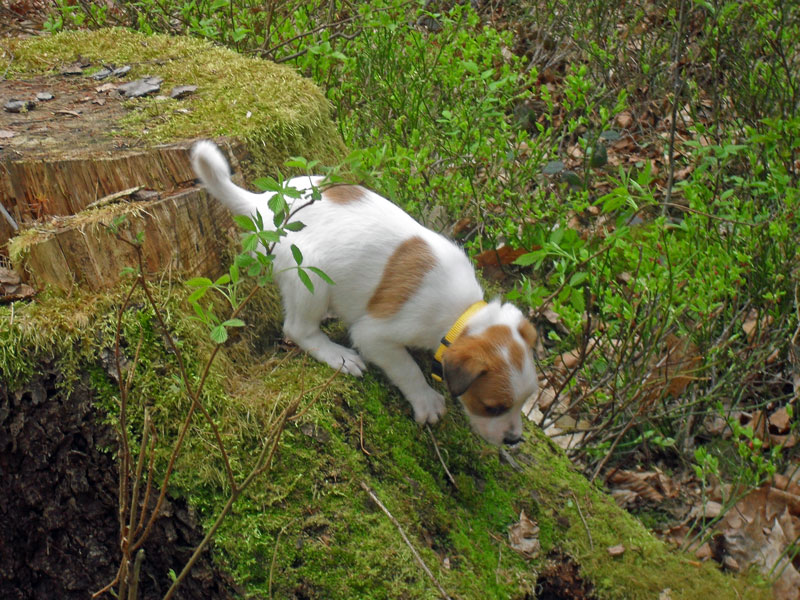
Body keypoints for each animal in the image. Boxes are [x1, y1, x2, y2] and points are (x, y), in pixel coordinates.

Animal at [191, 141, 538, 446]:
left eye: (525, 399)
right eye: (493, 407)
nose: (513, 440)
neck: (460, 315)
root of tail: (261, 205)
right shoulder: (375, 335)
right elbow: (408, 369)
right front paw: (426, 400)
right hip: (310, 276)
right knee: (298, 329)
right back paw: (337, 355)